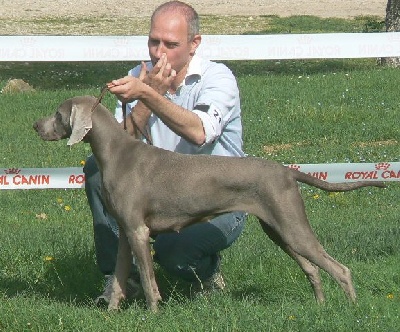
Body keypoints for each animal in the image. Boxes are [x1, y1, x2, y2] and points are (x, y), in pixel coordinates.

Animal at [33, 95, 384, 312]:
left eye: (58, 114)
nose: (36, 125)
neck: (117, 154)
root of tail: (286, 170)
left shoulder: (138, 231)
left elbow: (147, 279)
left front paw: (153, 312)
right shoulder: (125, 233)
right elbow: (120, 278)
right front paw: (111, 311)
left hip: (291, 226)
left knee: (340, 268)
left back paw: (351, 308)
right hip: (278, 229)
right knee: (312, 268)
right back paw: (320, 305)